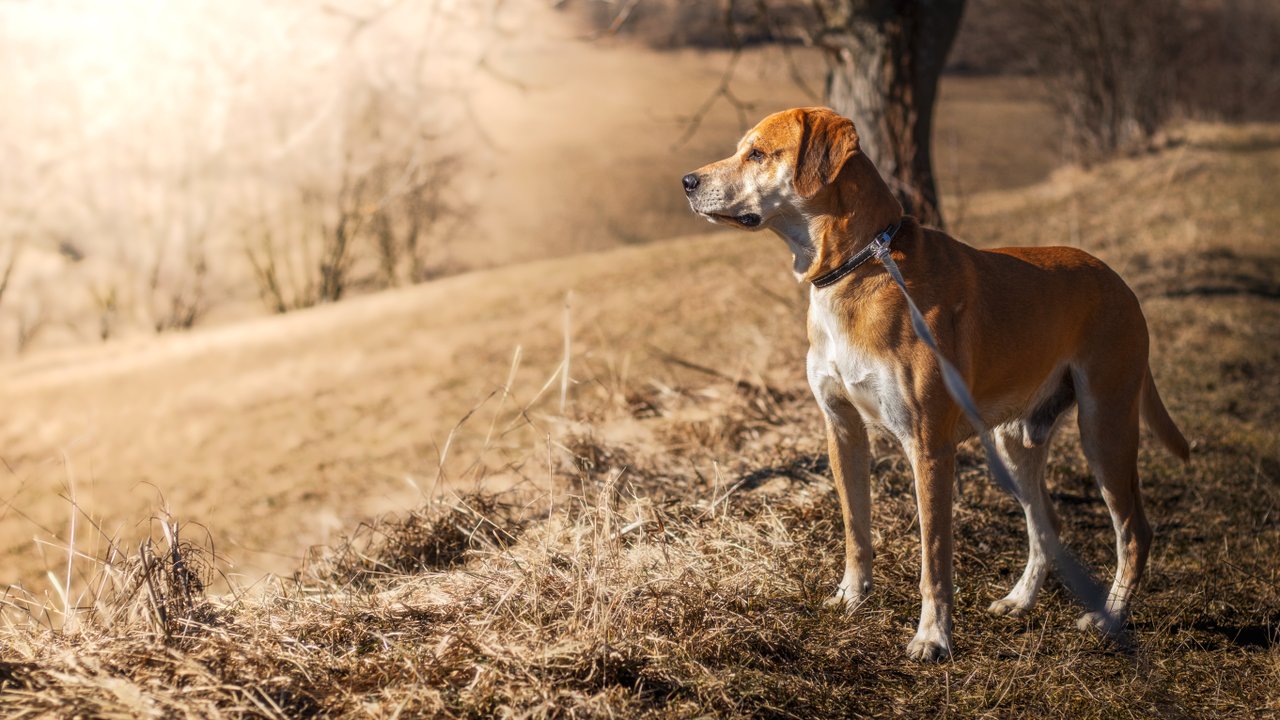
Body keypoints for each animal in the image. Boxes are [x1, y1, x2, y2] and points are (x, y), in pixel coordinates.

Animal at [680, 103, 1187, 661]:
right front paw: (851, 596)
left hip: (1105, 428)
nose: (687, 181)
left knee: (1134, 531)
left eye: (757, 153)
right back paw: (1020, 600)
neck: (858, 267)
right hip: (1015, 442)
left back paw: (1109, 616)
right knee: (1046, 526)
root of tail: (1119, 281)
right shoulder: (842, 430)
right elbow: (856, 527)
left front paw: (933, 636)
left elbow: (935, 558)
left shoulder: (928, 447)